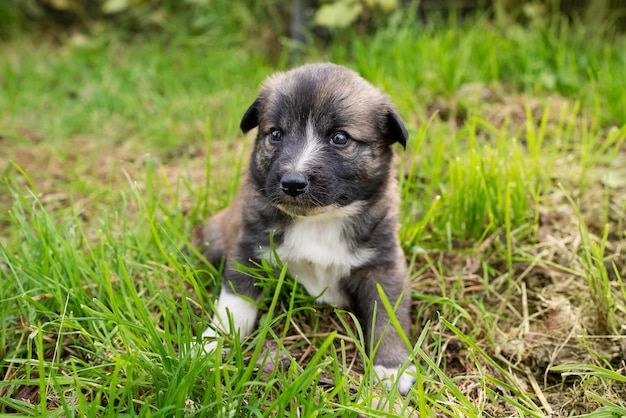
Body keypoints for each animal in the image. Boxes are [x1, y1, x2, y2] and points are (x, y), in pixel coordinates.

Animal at [199, 63, 414, 394]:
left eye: (339, 138)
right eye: (276, 134)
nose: (292, 182)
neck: (319, 220)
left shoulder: (383, 265)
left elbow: (389, 315)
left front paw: (392, 367)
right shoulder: (250, 249)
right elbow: (233, 304)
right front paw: (211, 344)